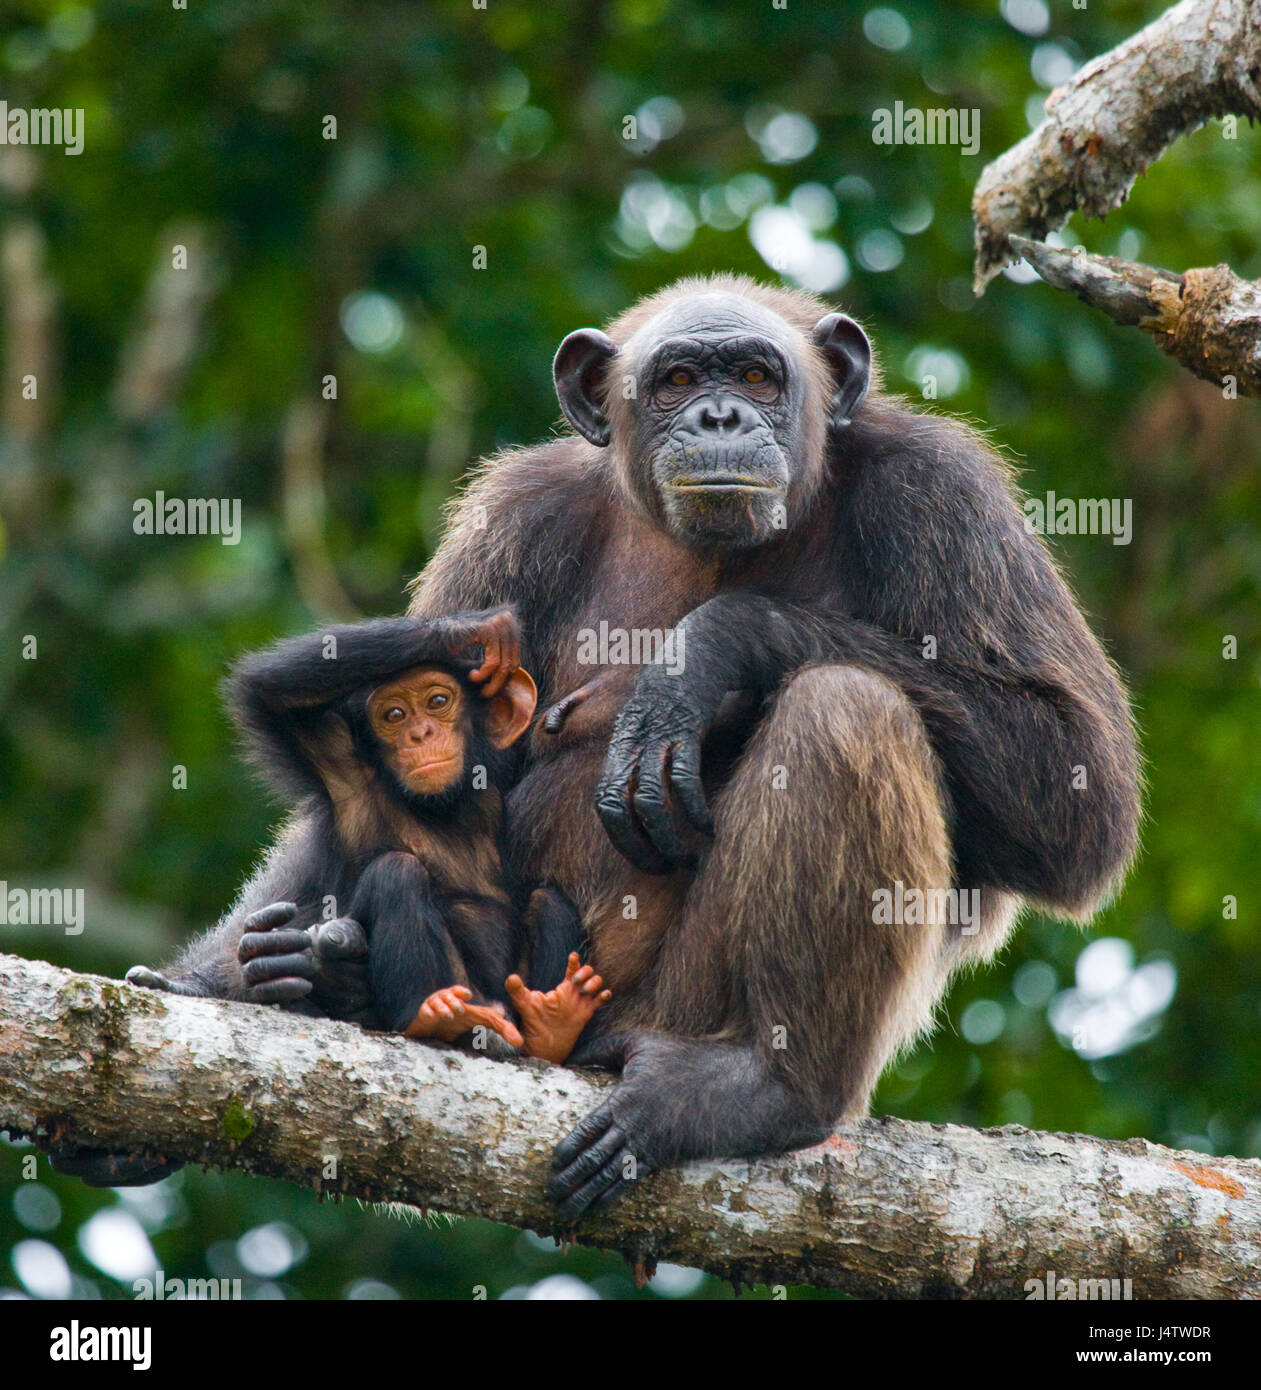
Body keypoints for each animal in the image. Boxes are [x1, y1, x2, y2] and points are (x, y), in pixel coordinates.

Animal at [63, 275, 1139, 1214]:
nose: (717, 418)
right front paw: (226, 976)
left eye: (757, 376)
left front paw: (707, 652)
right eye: (676, 379)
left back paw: (767, 1087)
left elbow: (1075, 788)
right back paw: (316, 979)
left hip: (660, 1011)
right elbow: (373, 753)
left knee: (847, 707)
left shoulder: (945, 495)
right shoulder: (514, 517)